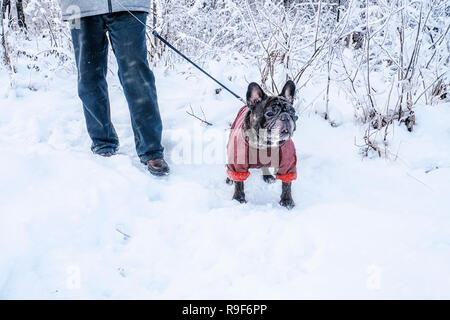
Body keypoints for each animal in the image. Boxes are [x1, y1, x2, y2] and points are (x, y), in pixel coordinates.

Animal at [225, 81, 298, 209]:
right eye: (269, 113)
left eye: (292, 112)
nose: (285, 116)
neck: (265, 144)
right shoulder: (237, 164)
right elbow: (239, 183)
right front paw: (239, 199)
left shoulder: (288, 164)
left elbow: (287, 184)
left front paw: (287, 201)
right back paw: (229, 179)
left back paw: (267, 176)